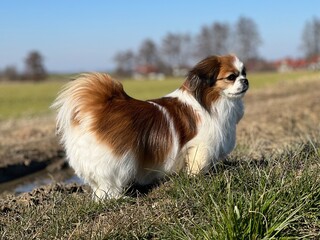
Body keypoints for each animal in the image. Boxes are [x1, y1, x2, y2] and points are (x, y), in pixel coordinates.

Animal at [52, 55, 249, 200]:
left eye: (243, 73)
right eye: (231, 77)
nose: (245, 81)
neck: (212, 101)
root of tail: (100, 108)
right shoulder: (201, 146)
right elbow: (197, 166)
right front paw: (197, 180)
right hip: (116, 159)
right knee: (109, 183)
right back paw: (119, 198)